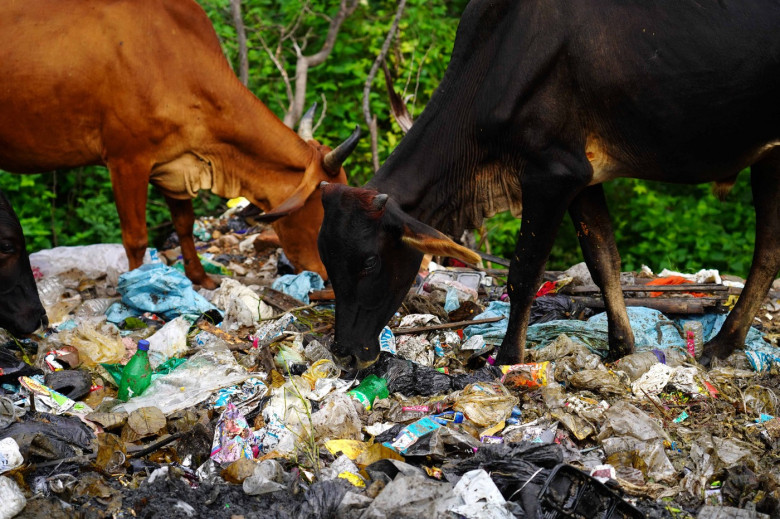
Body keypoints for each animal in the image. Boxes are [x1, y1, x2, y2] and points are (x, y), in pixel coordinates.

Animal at [0, 0, 360, 288]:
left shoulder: (175, 164)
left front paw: (200, 278)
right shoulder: (126, 160)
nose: (327, 277)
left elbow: (185, 225)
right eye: (323, 209)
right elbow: (136, 238)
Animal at [318, 0, 780, 368]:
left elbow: (523, 273)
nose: (344, 353)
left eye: (370, 262)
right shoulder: (583, 177)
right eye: (325, 260)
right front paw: (620, 347)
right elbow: (603, 260)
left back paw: (721, 345)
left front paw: (508, 358)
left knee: (766, 254)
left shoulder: (551, 173)